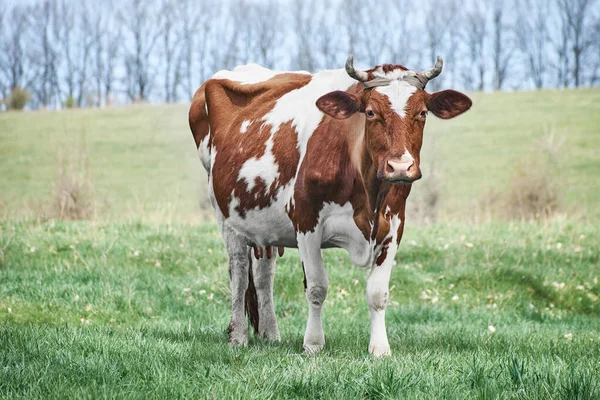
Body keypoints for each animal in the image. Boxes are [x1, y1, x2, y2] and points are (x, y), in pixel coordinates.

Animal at [190, 54, 472, 356]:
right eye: (370, 112)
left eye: (422, 113)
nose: (400, 167)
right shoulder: (306, 221)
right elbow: (316, 287)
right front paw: (313, 343)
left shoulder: (394, 225)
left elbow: (378, 292)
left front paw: (380, 349)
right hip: (225, 215)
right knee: (239, 272)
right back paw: (238, 336)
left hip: (263, 224)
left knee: (264, 274)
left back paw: (270, 334)